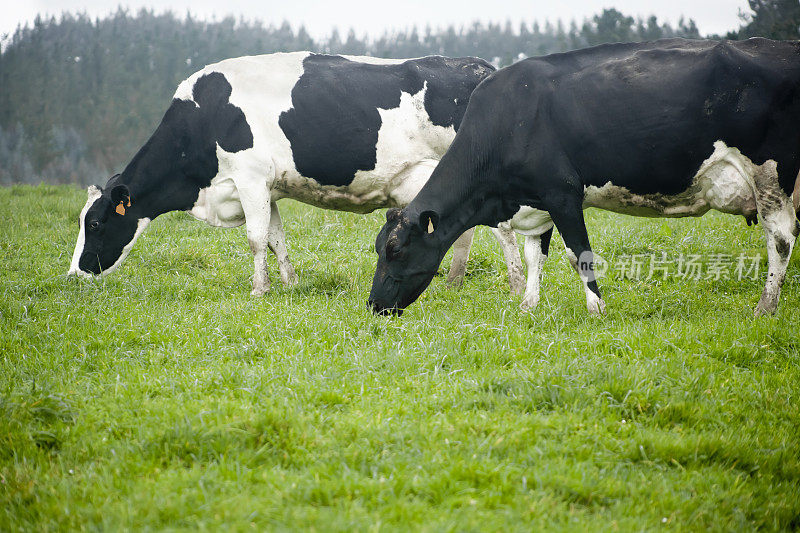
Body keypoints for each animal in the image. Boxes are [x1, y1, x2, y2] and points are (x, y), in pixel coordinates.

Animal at [69, 51, 524, 296]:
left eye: (95, 223)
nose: (75, 273)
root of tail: (481, 67)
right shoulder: (267, 188)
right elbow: (275, 239)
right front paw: (288, 284)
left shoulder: (250, 177)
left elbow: (255, 240)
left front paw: (259, 289)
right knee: (462, 230)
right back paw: (454, 283)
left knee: (502, 229)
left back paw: (517, 285)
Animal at [368, 39, 800, 318]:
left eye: (395, 250)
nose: (374, 306)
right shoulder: (535, 202)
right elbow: (534, 255)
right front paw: (528, 306)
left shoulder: (562, 195)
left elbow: (579, 254)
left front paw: (596, 308)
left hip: (770, 174)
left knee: (780, 237)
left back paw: (766, 307)